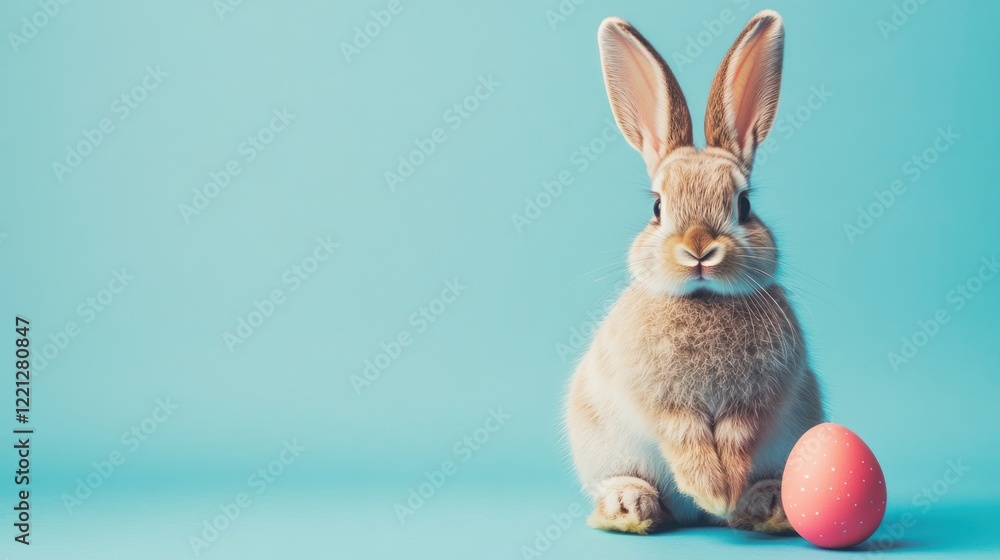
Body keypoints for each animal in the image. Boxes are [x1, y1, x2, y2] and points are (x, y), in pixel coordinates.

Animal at [565, 10, 824, 535]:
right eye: (657, 208)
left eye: (744, 205)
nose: (699, 249)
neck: (703, 300)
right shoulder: (660, 404)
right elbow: (681, 435)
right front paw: (709, 488)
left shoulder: (758, 403)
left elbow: (739, 435)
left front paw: (724, 493)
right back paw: (630, 506)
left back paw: (762, 506)